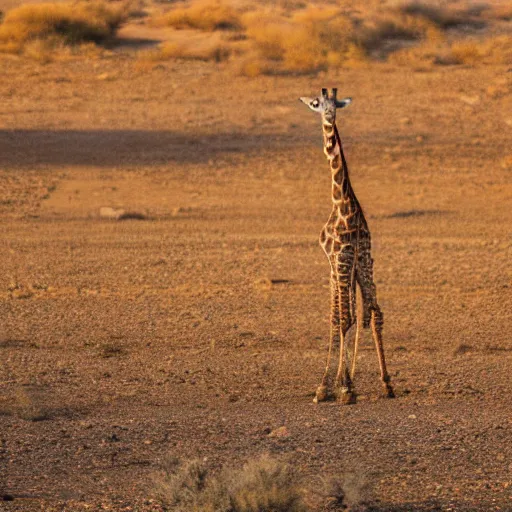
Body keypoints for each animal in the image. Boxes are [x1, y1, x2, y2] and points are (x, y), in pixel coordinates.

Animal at [298, 87, 394, 404]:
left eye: (334, 105)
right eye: (317, 104)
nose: (329, 115)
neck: (341, 201)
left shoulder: (336, 258)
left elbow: (338, 318)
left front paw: (329, 386)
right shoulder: (340, 262)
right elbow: (340, 317)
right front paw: (342, 382)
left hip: (350, 265)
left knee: (354, 315)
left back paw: (349, 386)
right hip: (364, 263)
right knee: (374, 312)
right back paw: (386, 383)